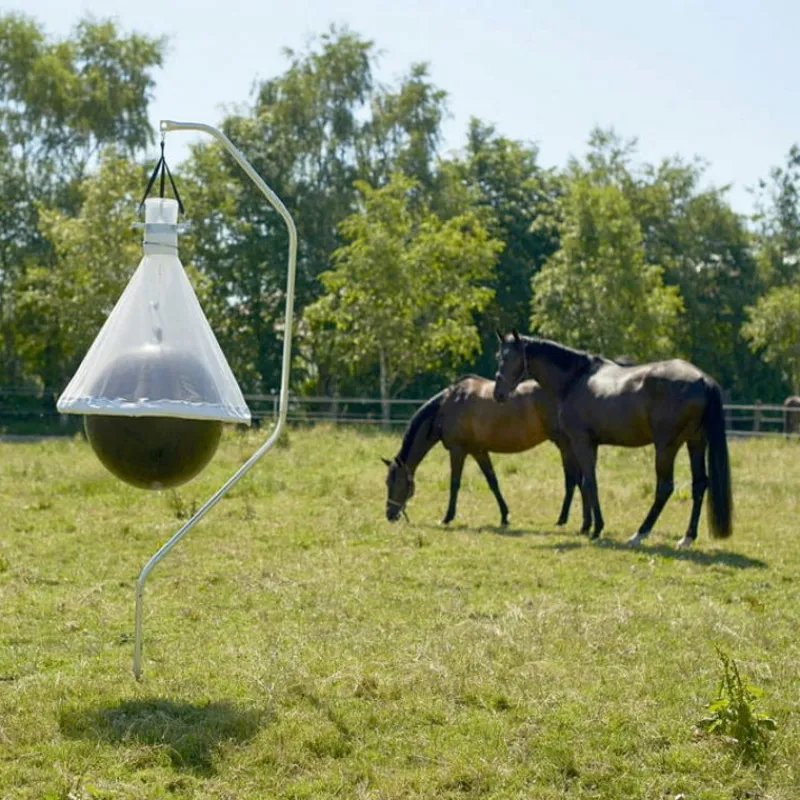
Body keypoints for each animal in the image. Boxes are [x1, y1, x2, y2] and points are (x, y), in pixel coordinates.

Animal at [383, 375, 589, 529]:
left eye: (397, 482)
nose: (390, 515)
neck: (448, 406)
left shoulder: (457, 451)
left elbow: (454, 484)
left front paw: (447, 517)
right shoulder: (479, 451)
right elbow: (493, 482)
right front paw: (505, 516)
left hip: (564, 445)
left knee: (573, 480)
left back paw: (564, 519)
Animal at [493, 332, 733, 548]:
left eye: (511, 357)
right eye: (499, 356)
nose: (498, 394)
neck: (575, 378)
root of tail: (702, 379)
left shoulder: (580, 442)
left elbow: (589, 482)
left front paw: (596, 528)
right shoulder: (592, 444)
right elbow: (585, 483)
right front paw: (586, 526)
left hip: (666, 447)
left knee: (664, 488)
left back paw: (639, 534)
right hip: (696, 443)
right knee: (699, 485)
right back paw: (687, 538)